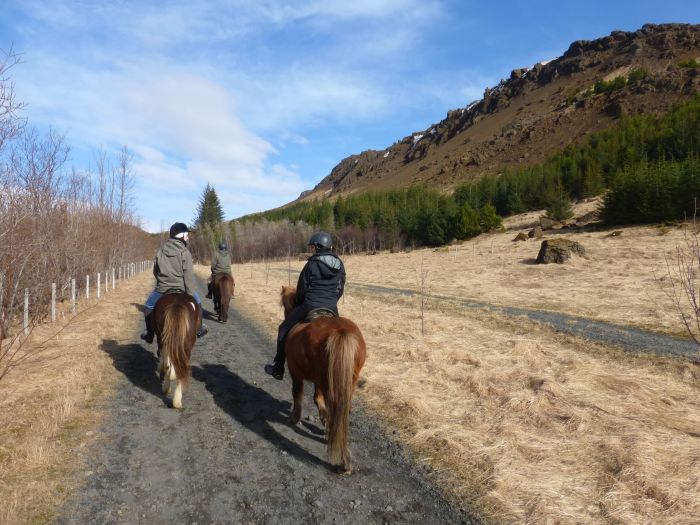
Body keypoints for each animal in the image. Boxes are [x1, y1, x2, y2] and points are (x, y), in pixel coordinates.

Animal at [280, 284, 370, 472]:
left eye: (285, 305)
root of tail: (341, 332)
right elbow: (316, 398)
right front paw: (324, 421)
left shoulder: (295, 372)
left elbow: (299, 394)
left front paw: (295, 418)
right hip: (347, 382)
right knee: (343, 411)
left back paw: (343, 461)